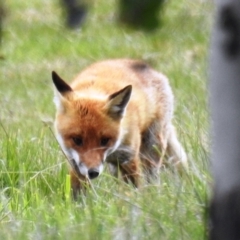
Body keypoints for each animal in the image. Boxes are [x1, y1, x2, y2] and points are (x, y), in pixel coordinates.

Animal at [52, 59, 188, 198]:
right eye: (77, 140)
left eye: (105, 140)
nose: (93, 172)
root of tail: (145, 65)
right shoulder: (74, 161)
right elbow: (78, 190)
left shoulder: (128, 157)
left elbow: (135, 187)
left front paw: (137, 201)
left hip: (152, 148)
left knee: (152, 176)